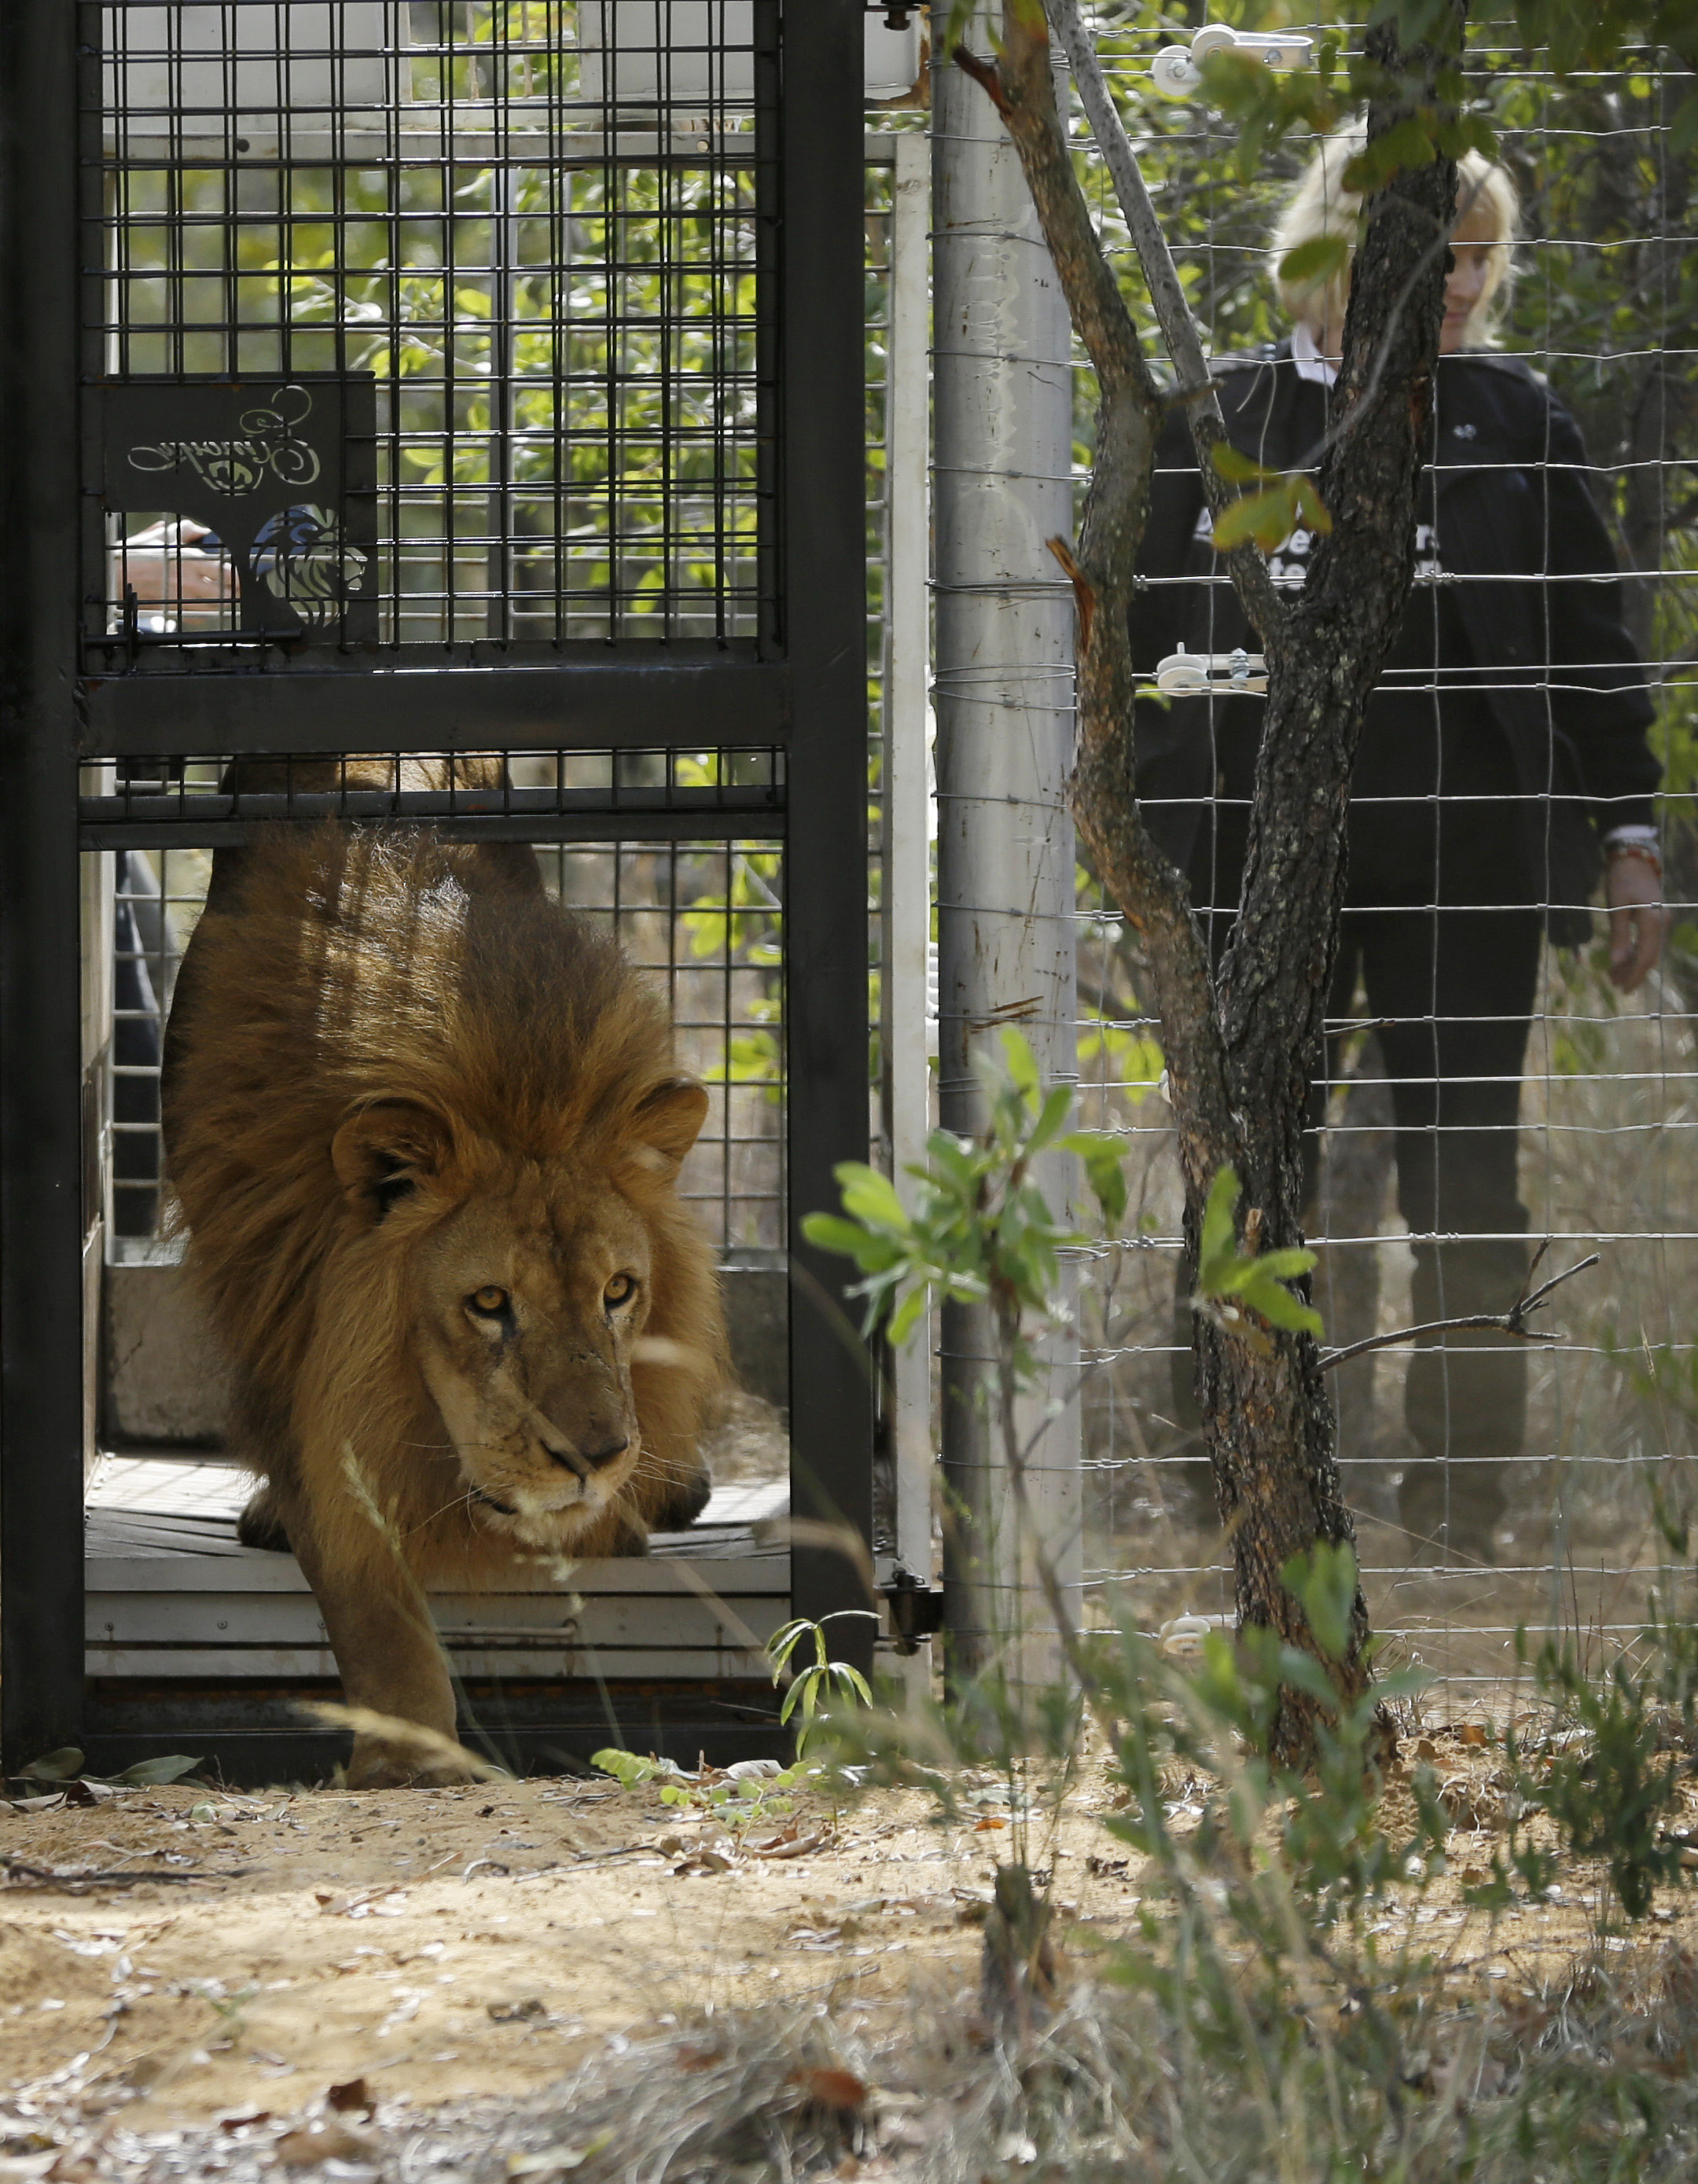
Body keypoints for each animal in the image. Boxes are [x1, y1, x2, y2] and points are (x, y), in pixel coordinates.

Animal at [162, 821, 729, 1790]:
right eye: (489, 1302)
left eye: (618, 1291)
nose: (595, 1457)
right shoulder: (303, 1371)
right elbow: (373, 1599)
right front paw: (410, 1756)